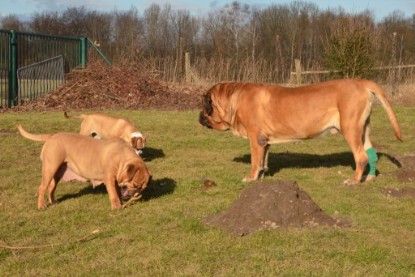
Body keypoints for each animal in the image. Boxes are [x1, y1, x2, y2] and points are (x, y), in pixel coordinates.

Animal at [17, 124, 152, 209]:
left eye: (143, 188)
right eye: (135, 185)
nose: (136, 194)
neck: (122, 157)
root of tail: (52, 136)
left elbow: (117, 191)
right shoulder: (109, 178)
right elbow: (113, 193)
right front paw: (116, 206)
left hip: (58, 172)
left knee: (51, 188)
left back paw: (53, 202)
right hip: (50, 168)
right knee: (42, 188)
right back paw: (41, 206)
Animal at [201, 78, 404, 184]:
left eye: (205, 105)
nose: (199, 116)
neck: (234, 97)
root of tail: (362, 83)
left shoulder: (255, 137)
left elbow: (254, 160)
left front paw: (251, 177)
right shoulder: (264, 141)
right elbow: (263, 160)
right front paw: (262, 174)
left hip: (350, 128)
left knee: (361, 157)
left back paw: (353, 180)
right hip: (363, 130)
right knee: (371, 153)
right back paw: (370, 178)